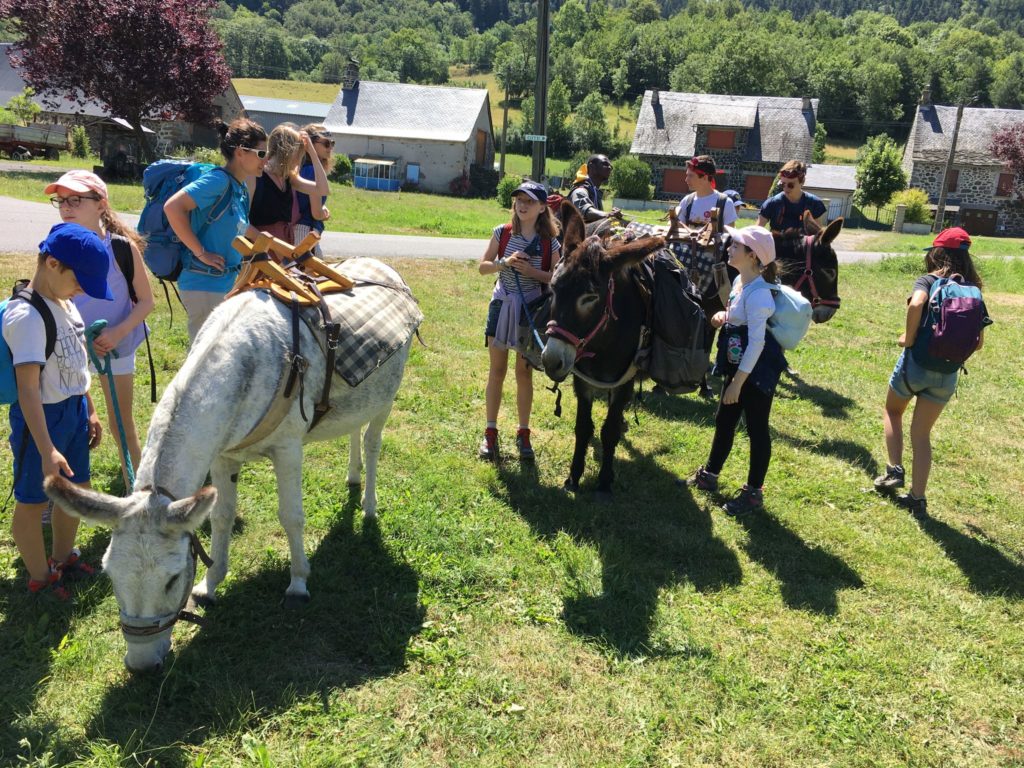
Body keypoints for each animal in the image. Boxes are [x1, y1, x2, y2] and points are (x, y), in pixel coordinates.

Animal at [44, 259, 422, 673]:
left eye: (172, 579)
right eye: (109, 573)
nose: (141, 665)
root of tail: (385, 266)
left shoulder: (288, 448)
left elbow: (292, 517)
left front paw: (298, 584)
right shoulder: (222, 456)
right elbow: (221, 517)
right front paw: (209, 587)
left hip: (388, 394)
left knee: (371, 442)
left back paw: (368, 505)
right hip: (358, 400)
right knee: (355, 429)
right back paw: (352, 478)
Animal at [540, 202, 666, 498]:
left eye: (590, 297)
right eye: (553, 287)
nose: (551, 362)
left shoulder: (624, 381)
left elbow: (608, 432)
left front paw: (605, 482)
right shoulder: (582, 380)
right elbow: (583, 427)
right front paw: (573, 476)